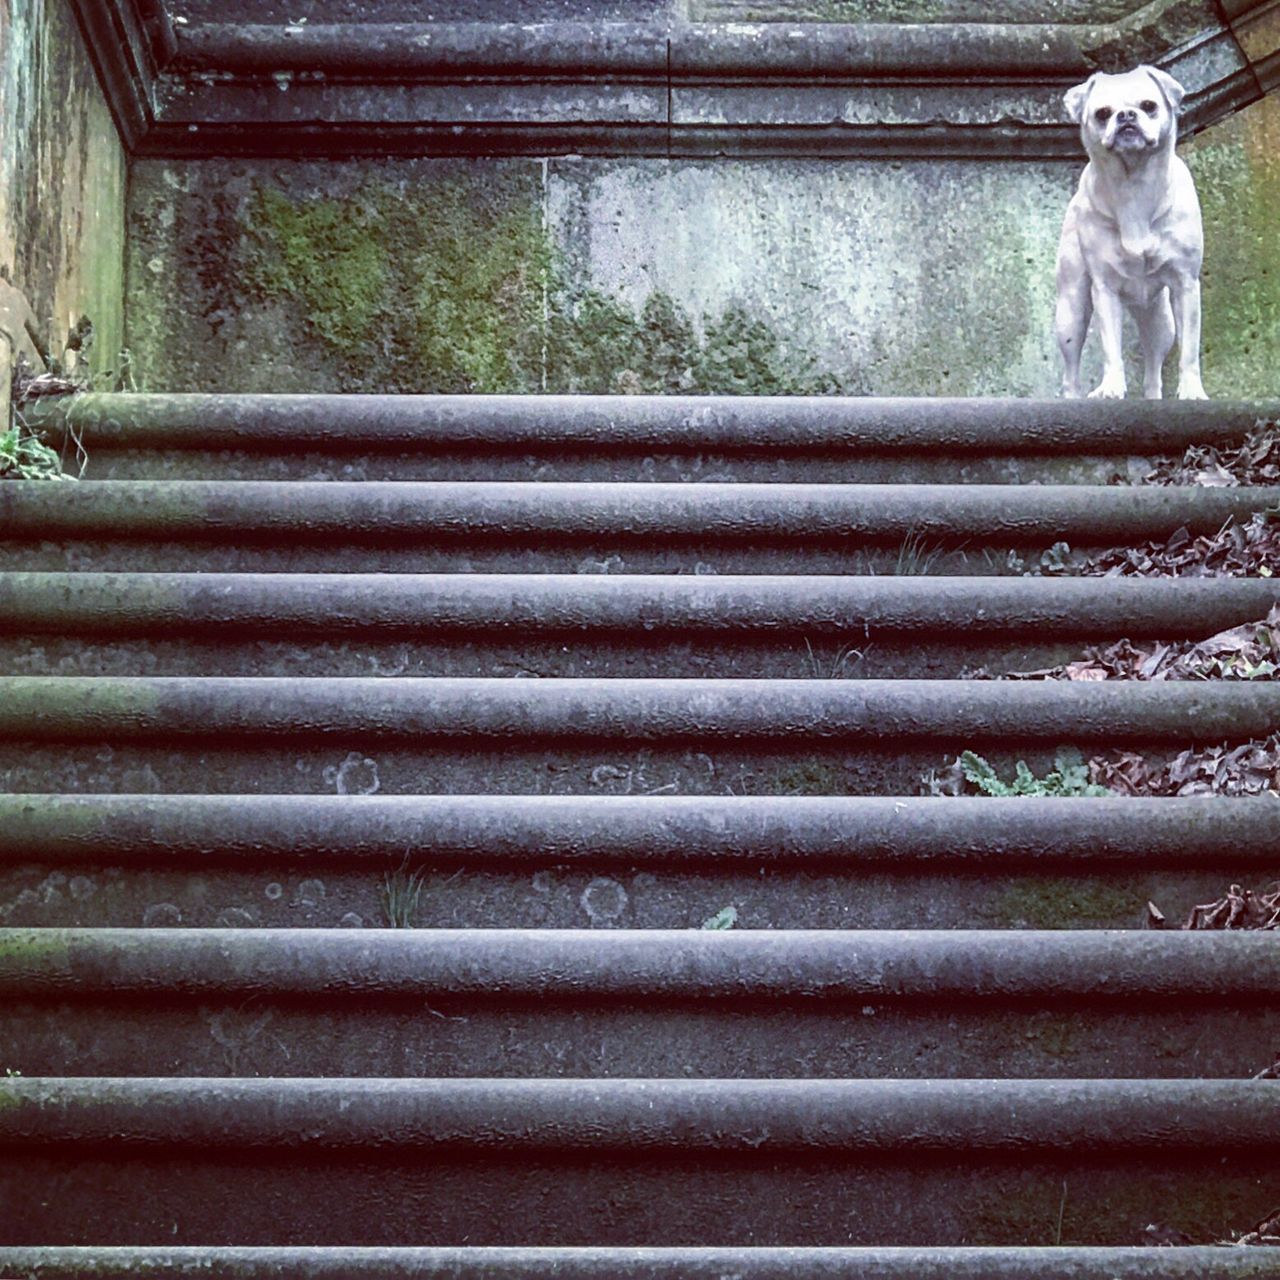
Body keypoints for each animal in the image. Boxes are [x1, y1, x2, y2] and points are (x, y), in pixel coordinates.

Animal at [1054, 67, 1203, 396]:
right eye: (1102, 113)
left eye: (1149, 106)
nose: (1126, 116)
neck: (1134, 185)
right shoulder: (1104, 290)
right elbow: (1111, 349)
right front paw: (1111, 387)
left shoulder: (1186, 285)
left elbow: (1190, 350)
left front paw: (1191, 390)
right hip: (1071, 311)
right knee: (1070, 372)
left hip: (1161, 322)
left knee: (1153, 371)